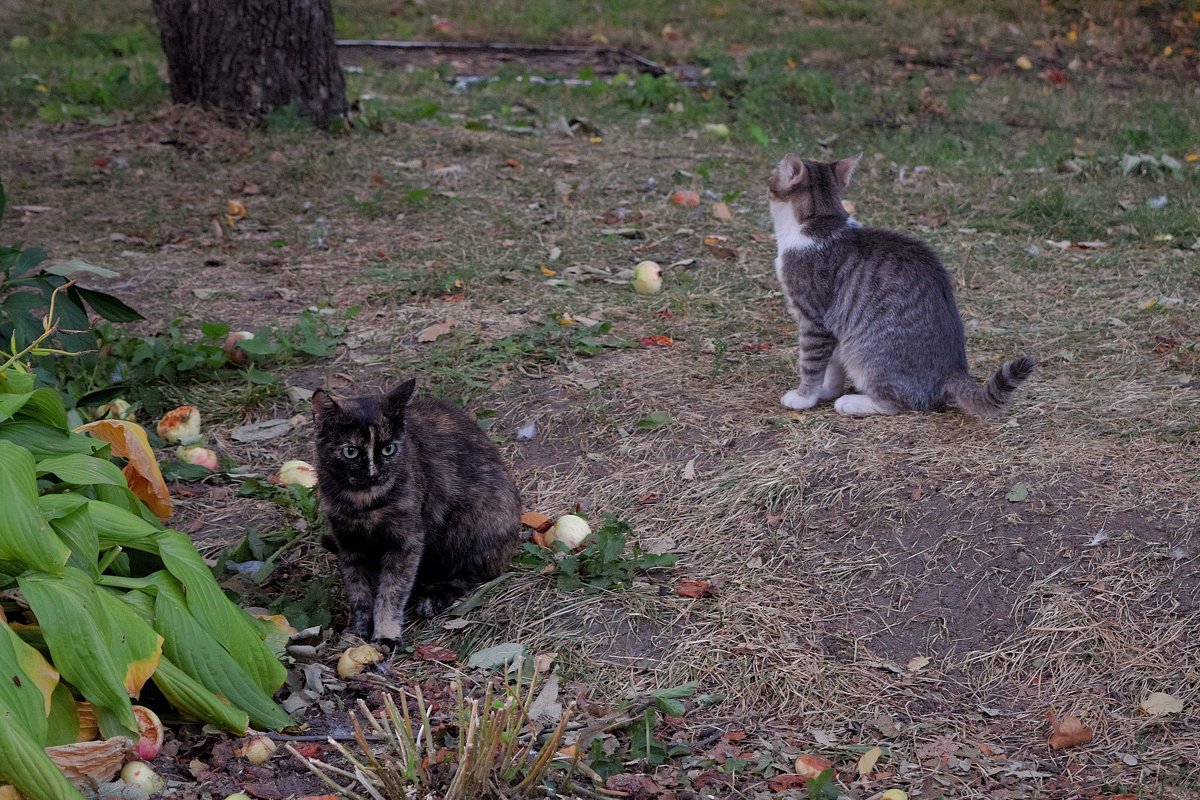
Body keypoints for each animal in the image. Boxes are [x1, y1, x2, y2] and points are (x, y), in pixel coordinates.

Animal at [312, 379, 518, 647]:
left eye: (389, 449)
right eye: (351, 452)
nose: (373, 475)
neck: (363, 504)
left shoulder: (406, 541)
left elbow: (392, 590)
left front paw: (386, 633)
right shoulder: (349, 543)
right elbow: (358, 590)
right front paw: (357, 631)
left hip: (474, 525)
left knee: (474, 573)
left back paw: (433, 598)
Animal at [772, 154, 1036, 419]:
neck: (819, 225)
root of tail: (953, 370)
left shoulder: (814, 320)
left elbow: (811, 363)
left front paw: (805, 397)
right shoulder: (835, 326)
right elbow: (833, 366)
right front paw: (826, 390)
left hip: (866, 354)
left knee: (899, 403)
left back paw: (854, 402)